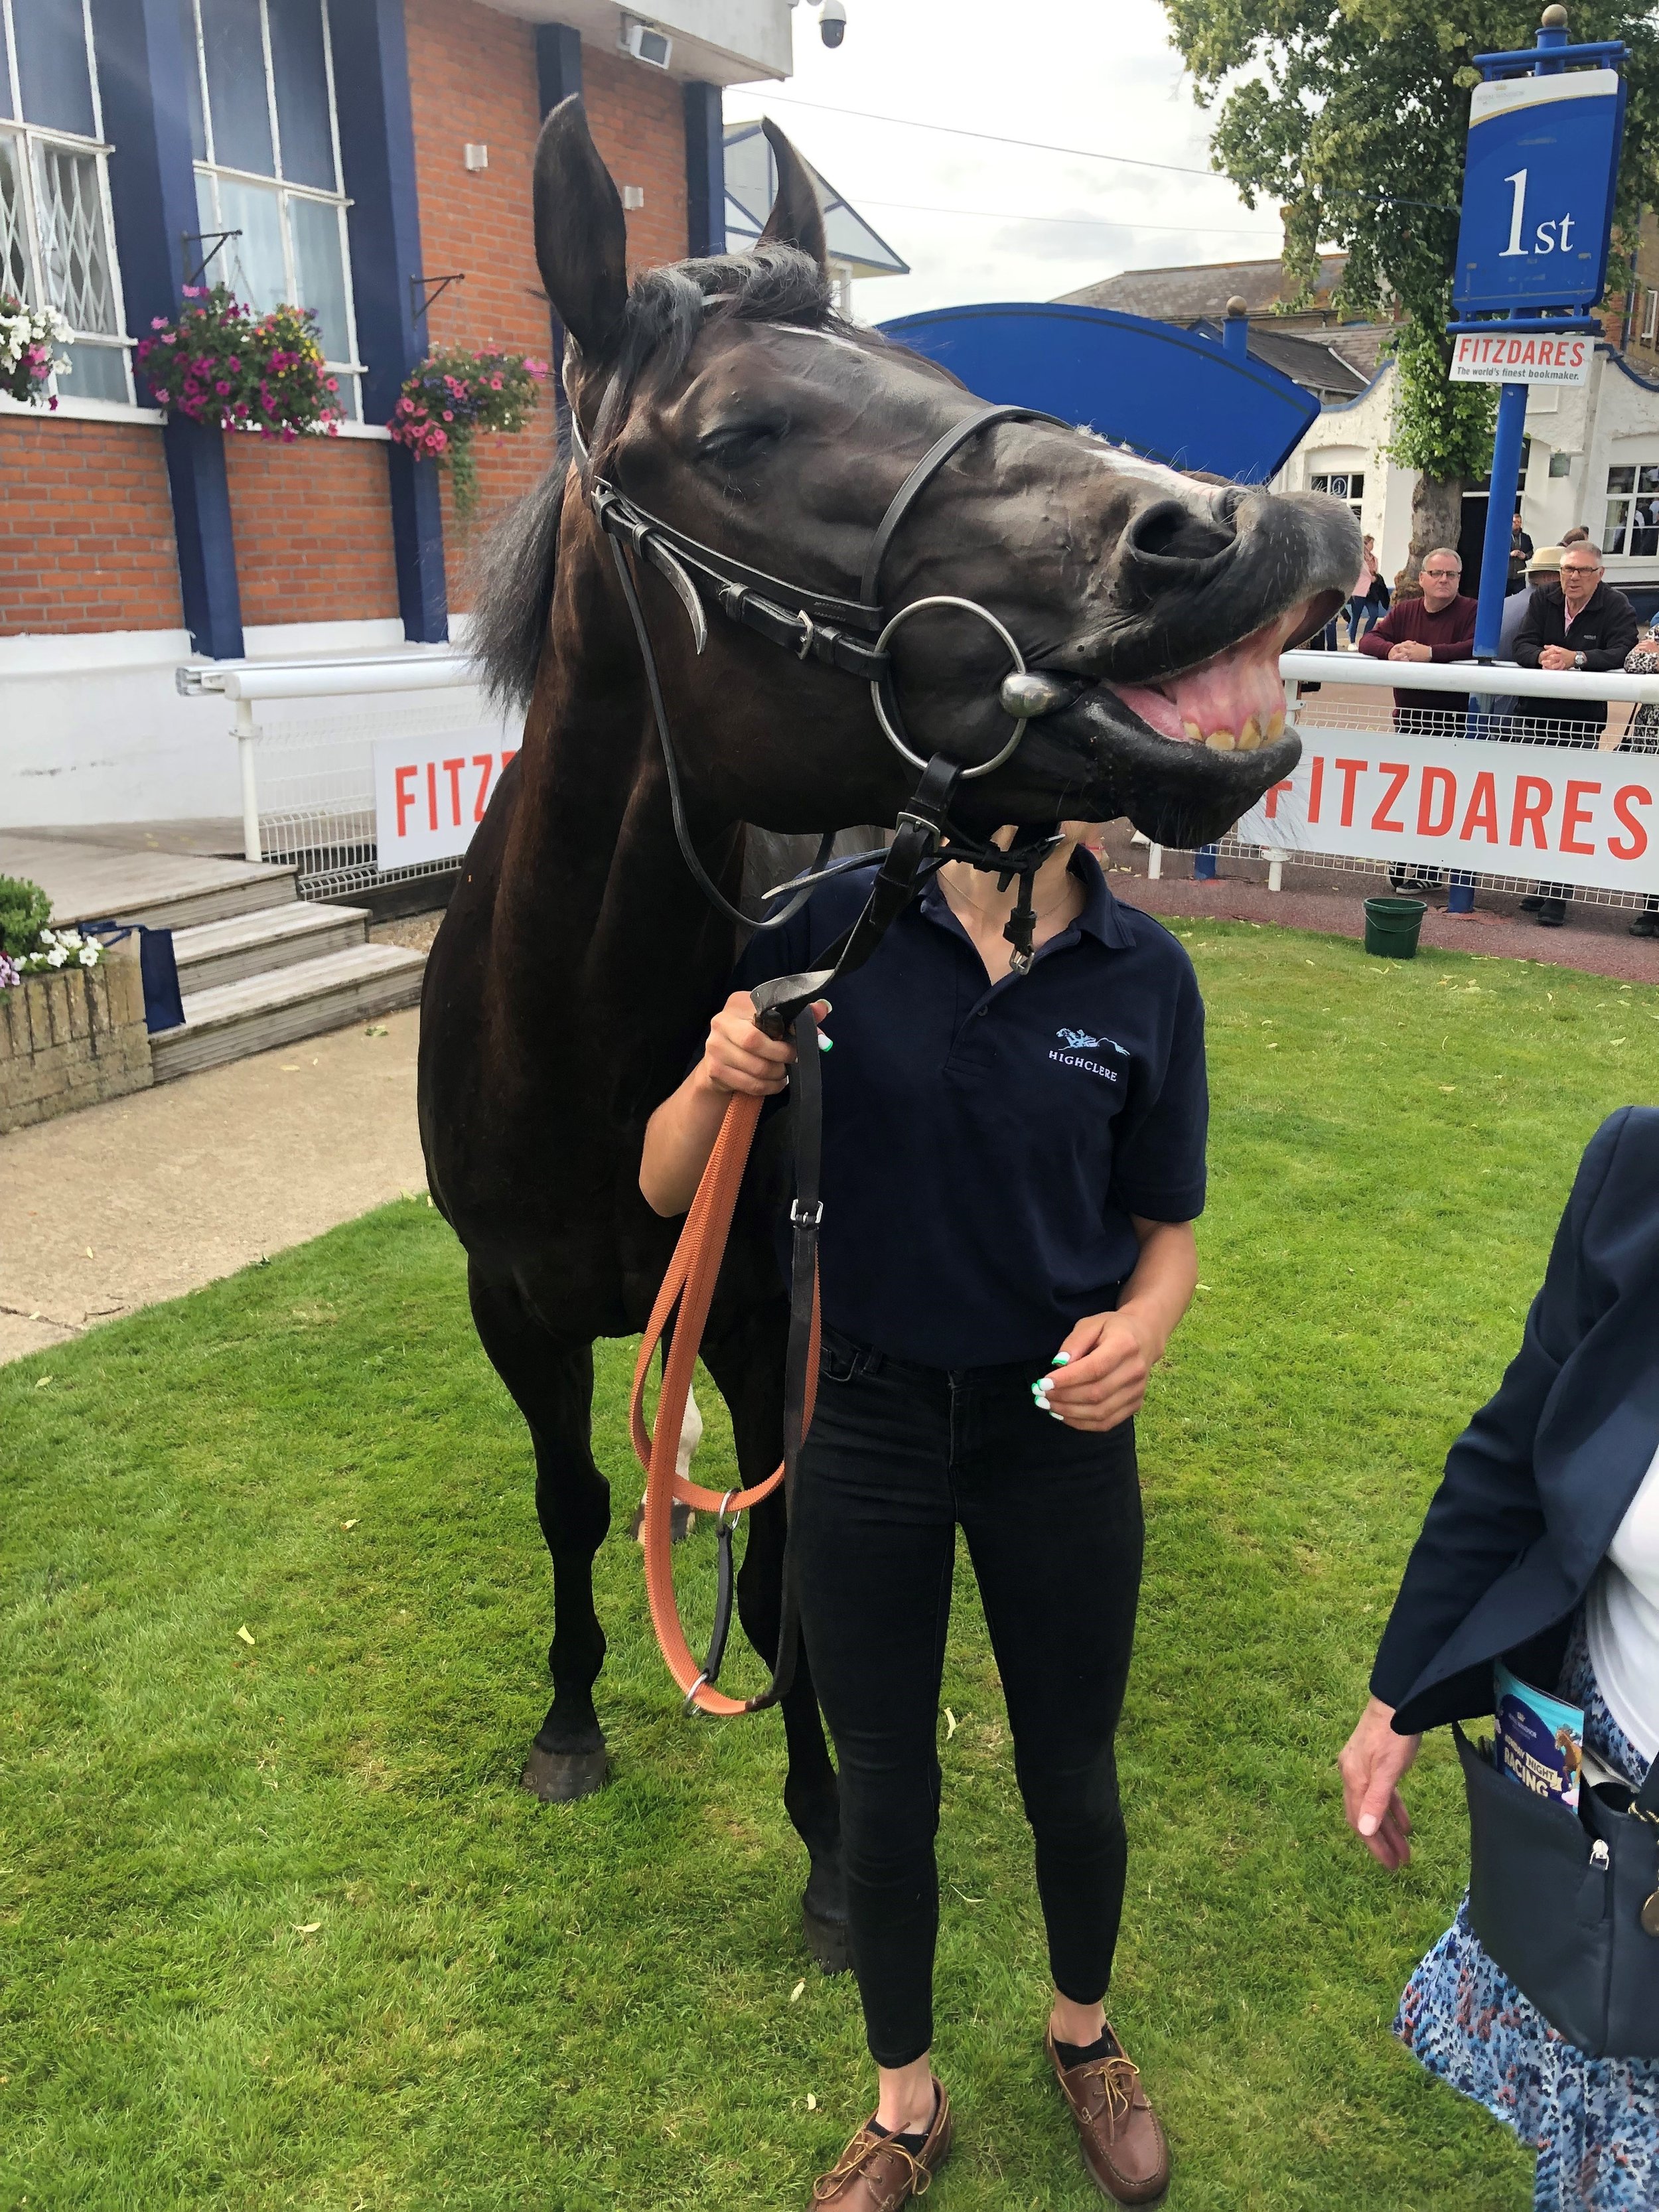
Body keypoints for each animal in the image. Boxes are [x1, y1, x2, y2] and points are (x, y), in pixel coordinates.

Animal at [418, 99, 1362, 1973]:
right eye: (742, 431)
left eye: (911, 369)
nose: (1236, 533)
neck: (577, 1048)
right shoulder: (515, 1307)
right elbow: (576, 1502)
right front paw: (570, 1719)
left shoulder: (769, 1311)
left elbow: (799, 1564)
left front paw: (829, 1836)